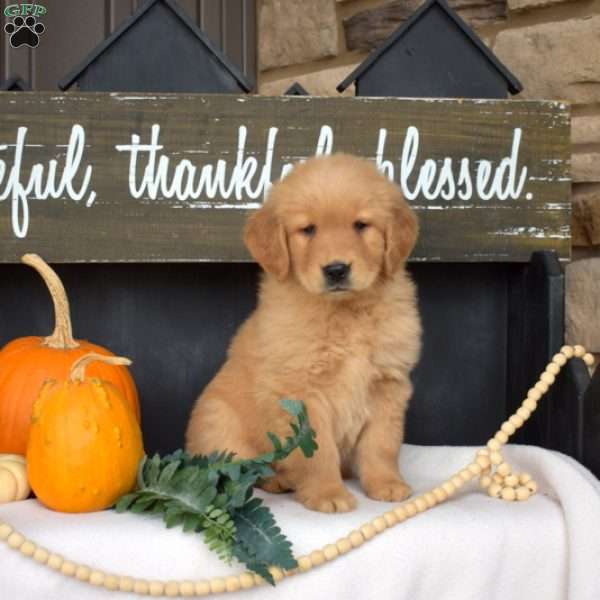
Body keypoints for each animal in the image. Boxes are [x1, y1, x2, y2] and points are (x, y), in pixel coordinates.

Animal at [188, 154, 422, 510]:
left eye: (361, 225)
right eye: (308, 229)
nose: (336, 269)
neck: (344, 313)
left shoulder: (388, 385)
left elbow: (382, 444)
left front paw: (387, 484)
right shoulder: (301, 393)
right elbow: (317, 454)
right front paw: (327, 493)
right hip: (220, 422)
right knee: (244, 470)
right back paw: (279, 480)